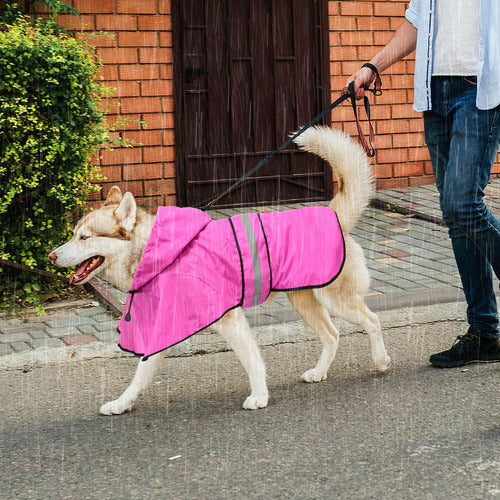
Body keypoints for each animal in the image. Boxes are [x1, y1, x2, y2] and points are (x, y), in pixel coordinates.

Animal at [49, 127, 390, 416]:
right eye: (73, 233)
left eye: (84, 237)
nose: (51, 256)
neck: (159, 253)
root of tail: (333, 214)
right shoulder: (165, 330)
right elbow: (140, 376)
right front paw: (122, 404)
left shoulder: (230, 319)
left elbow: (253, 361)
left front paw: (259, 397)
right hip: (305, 302)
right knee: (332, 336)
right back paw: (320, 372)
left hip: (336, 300)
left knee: (372, 321)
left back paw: (381, 361)